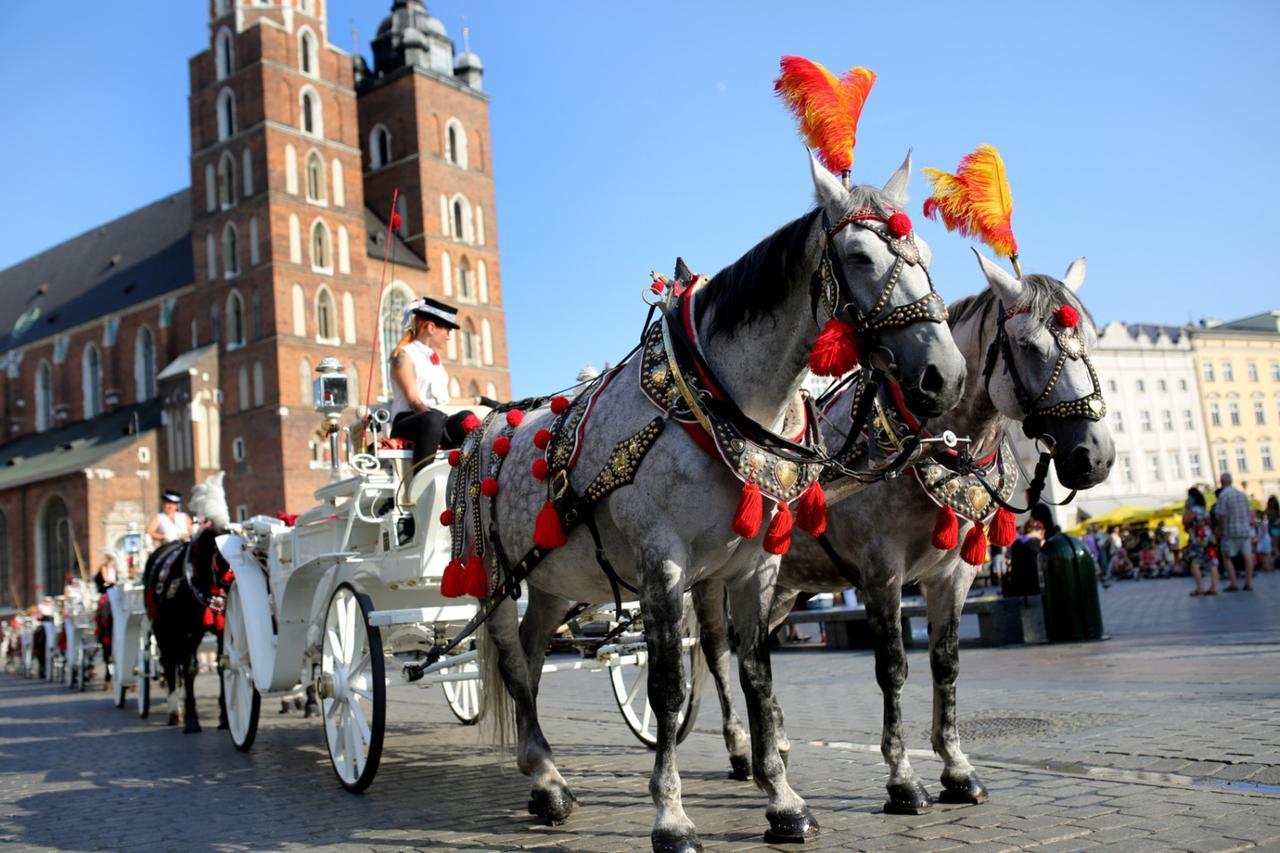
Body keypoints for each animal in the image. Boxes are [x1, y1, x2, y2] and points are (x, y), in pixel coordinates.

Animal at [455, 153, 962, 850]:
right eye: (859, 255)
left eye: (929, 254)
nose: (946, 376)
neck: (714, 403)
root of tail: (483, 428)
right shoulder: (662, 562)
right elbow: (669, 688)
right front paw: (671, 816)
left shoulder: (755, 568)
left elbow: (755, 677)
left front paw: (782, 799)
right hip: (497, 578)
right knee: (510, 662)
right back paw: (548, 782)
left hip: (555, 579)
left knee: (532, 657)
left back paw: (546, 776)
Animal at [696, 247, 1116, 809]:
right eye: (1029, 345)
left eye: (1090, 341)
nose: (1095, 455)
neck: (933, 444)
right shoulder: (882, 573)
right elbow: (893, 667)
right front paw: (902, 778)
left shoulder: (955, 574)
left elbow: (946, 662)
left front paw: (957, 769)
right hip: (711, 581)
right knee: (719, 655)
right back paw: (742, 750)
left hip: (780, 586)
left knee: (754, 649)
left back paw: (777, 742)